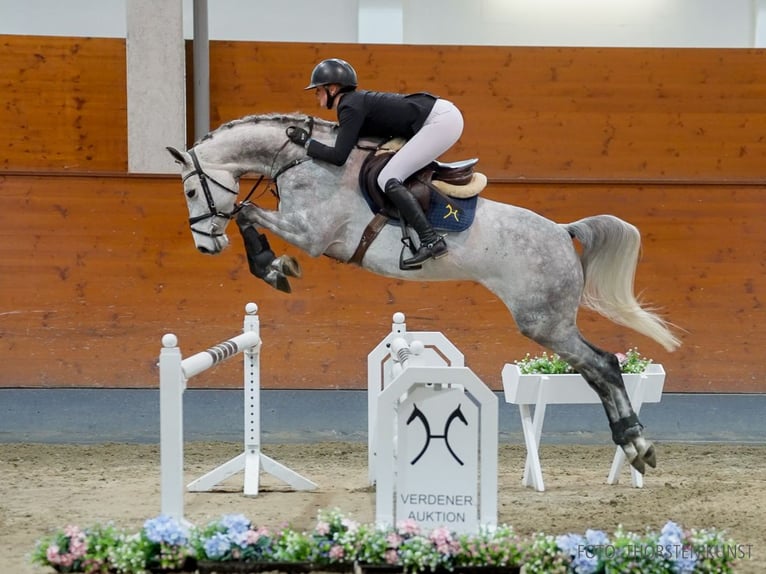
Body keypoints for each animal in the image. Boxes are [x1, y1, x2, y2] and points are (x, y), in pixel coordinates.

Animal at [166, 112, 680, 476]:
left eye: (191, 191)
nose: (205, 246)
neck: (302, 159)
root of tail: (561, 230)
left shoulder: (312, 234)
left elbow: (247, 211)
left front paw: (272, 267)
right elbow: (247, 213)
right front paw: (273, 267)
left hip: (544, 322)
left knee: (603, 365)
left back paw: (637, 443)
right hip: (549, 323)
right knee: (598, 368)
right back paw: (634, 445)